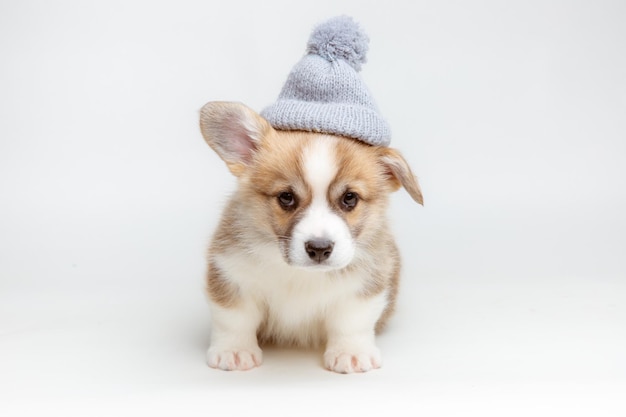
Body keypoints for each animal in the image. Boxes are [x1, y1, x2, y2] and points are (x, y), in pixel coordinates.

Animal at [199, 101, 424, 374]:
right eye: (286, 197)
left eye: (350, 198)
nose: (319, 248)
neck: (301, 275)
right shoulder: (230, 274)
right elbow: (234, 319)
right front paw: (234, 351)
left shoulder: (365, 285)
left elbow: (352, 322)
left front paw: (351, 353)